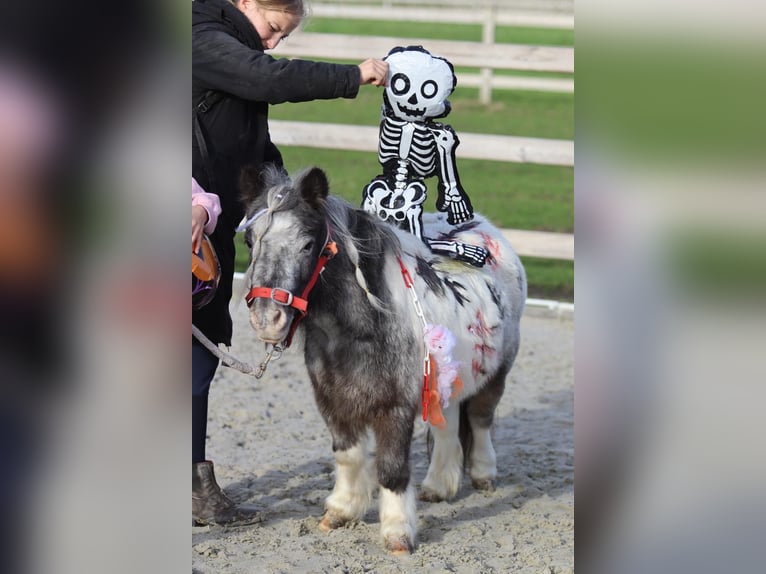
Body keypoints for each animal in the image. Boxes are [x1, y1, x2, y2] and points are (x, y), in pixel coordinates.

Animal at [238, 165, 526, 554]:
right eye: (249, 241)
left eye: (308, 244)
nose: (268, 320)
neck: (363, 326)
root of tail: (488, 229)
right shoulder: (333, 402)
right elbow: (347, 455)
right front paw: (341, 512)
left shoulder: (395, 407)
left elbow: (391, 468)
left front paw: (398, 533)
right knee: (448, 424)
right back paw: (438, 486)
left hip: (495, 374)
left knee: (480, 420)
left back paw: (483, 475)